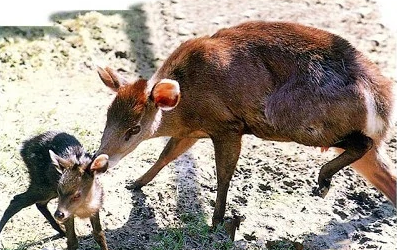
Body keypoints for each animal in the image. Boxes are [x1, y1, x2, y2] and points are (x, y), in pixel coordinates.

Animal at [94, 21, 394, 228]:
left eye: (134, 128)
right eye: (106, 116)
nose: (101, 161)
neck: (185, 105)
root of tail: (382, 103)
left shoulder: (228, 126)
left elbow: (223, 174)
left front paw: (216, 220)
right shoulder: (193, 131)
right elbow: (166, 155)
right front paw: (135, 183)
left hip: (291, 117)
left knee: (363, 143)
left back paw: (322, 182)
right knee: (385, 172)